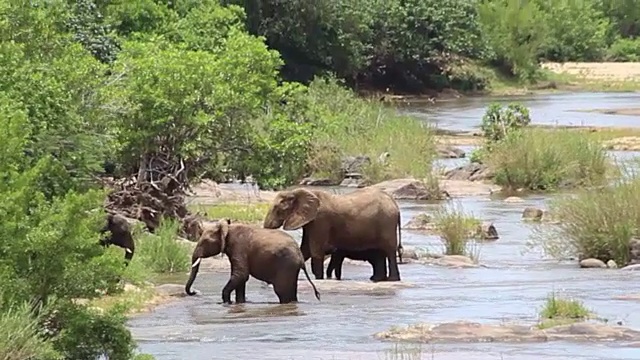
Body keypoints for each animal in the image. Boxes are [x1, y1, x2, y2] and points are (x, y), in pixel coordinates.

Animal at [185, 218, 322, 306]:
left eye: (205, 242)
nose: (194, 292)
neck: (228, 228)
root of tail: (300, 258)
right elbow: (240, 279)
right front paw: (238, 303)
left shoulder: (239, 248)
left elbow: (241, 275)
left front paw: (227, 303)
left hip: (286, 265)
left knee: (281, 291)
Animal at [262, 187, 402, 282]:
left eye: (277, 209)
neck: (297, 192)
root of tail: (395, 204)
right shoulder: (310, 222)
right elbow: (305, 250)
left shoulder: (320, 220)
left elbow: (315, 251)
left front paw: (319, 279)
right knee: (380, 253)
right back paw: (378, 279)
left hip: (387, 223)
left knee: (389, 250)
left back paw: (392, 279)